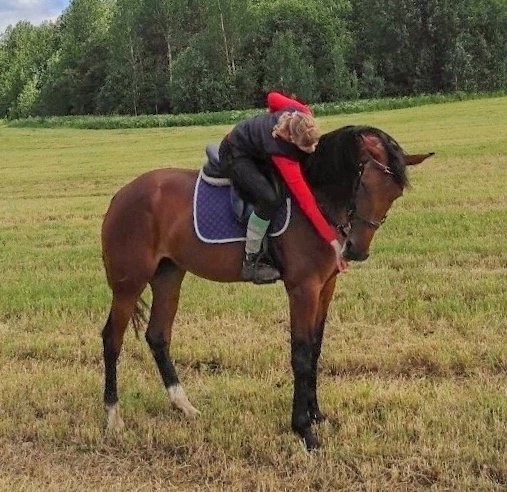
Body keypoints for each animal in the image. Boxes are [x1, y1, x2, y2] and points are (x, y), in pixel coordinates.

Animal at [100, 125, 433, 450]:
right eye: (362, 184)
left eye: (394, 194)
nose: (356, 249)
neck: (315, 199)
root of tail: (121, 195)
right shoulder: (303, 288)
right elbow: (301, 354)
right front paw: (304, 430)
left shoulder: (326, 286)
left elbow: (315, 348)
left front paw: (316, 415)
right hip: (129, 284)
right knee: (112, 340)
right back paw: (114, 417)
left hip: (169, 275)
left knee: (158, 336)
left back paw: (183, 405)